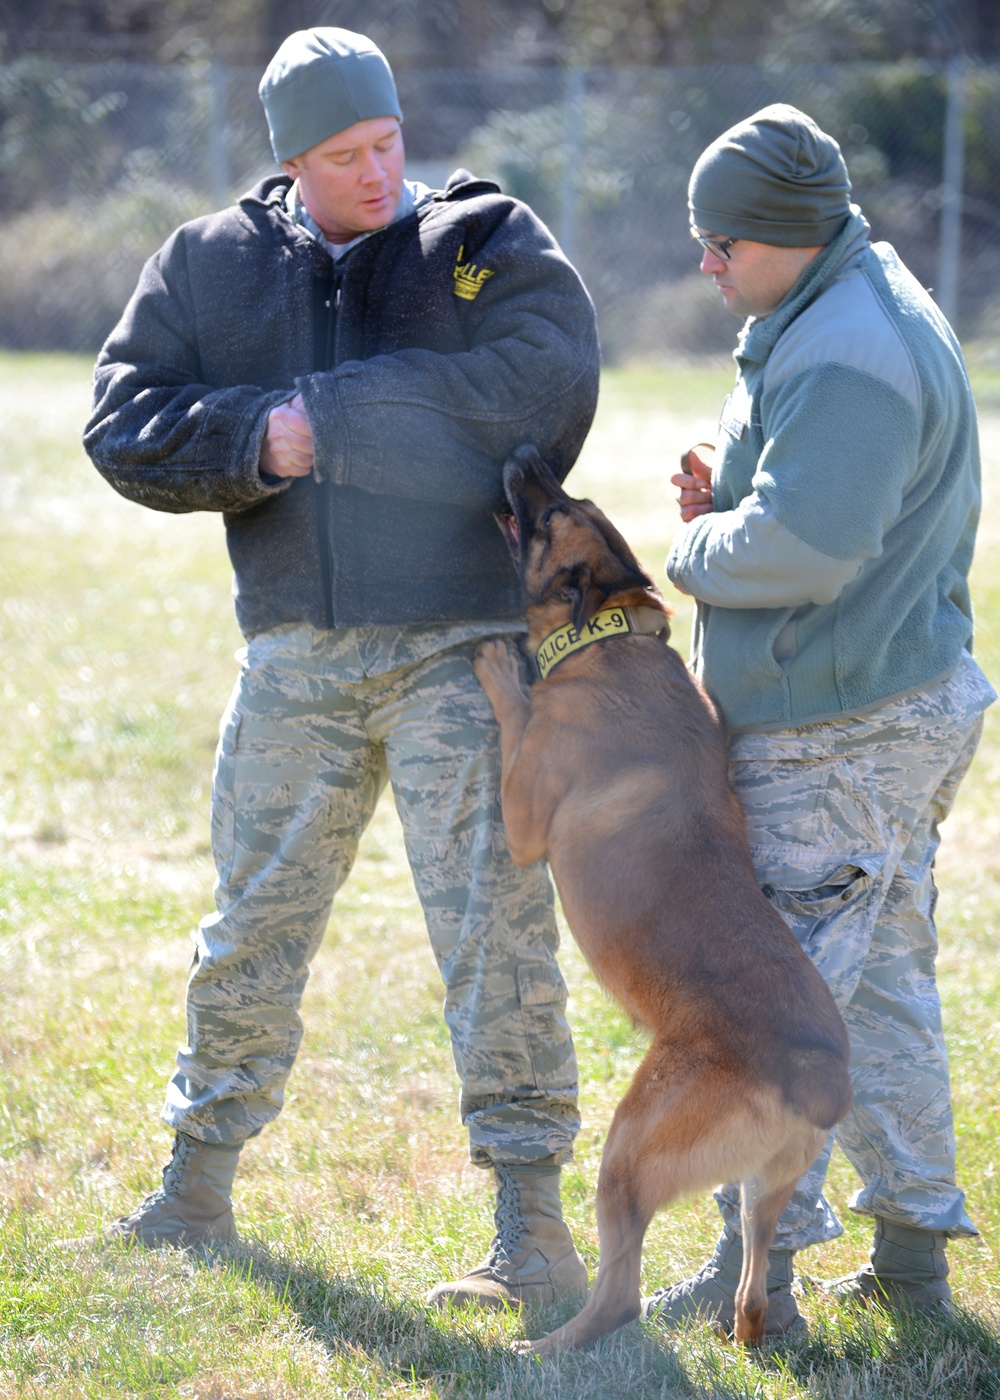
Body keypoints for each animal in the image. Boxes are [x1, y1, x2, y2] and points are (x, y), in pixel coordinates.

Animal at [470, 442, 845, 1349]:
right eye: (570, 497)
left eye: (548, 512)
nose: (526, 453)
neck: (608, 635)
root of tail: (816, 1075)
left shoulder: (524, 813)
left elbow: (516, 711)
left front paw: (503, 670)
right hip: (761, 1191)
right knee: (752, 1288)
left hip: (629, 1150)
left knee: (619, 1296)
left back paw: (544, 1349)